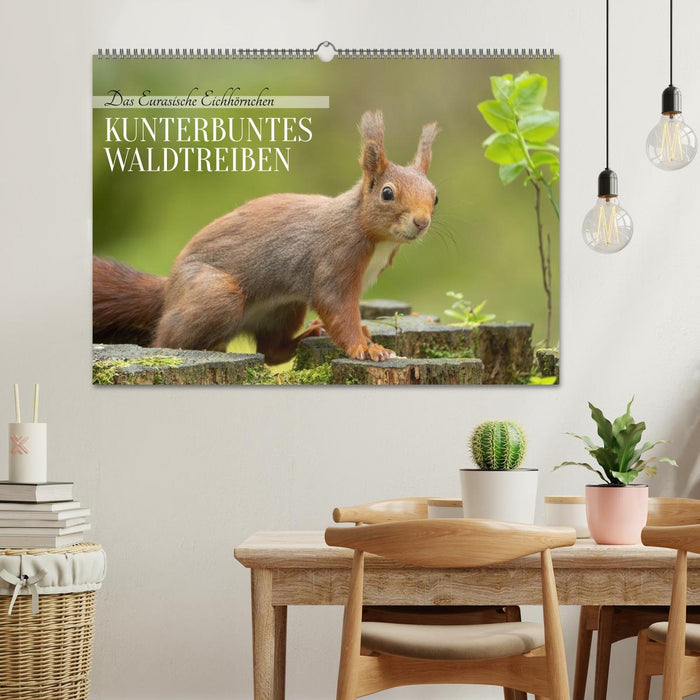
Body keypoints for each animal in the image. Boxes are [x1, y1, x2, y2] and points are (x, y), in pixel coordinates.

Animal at [93, 110, 439, 364]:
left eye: (435, 197)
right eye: (387, 193)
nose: (422, 222)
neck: (371, 234)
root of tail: (169, 291)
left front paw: (364, 333)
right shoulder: (335, 259)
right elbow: (337, 307)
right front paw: (365, 347)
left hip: (284, 308)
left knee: (271, 352)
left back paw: (307, 336)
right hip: (216, 294)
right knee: (164, 342)